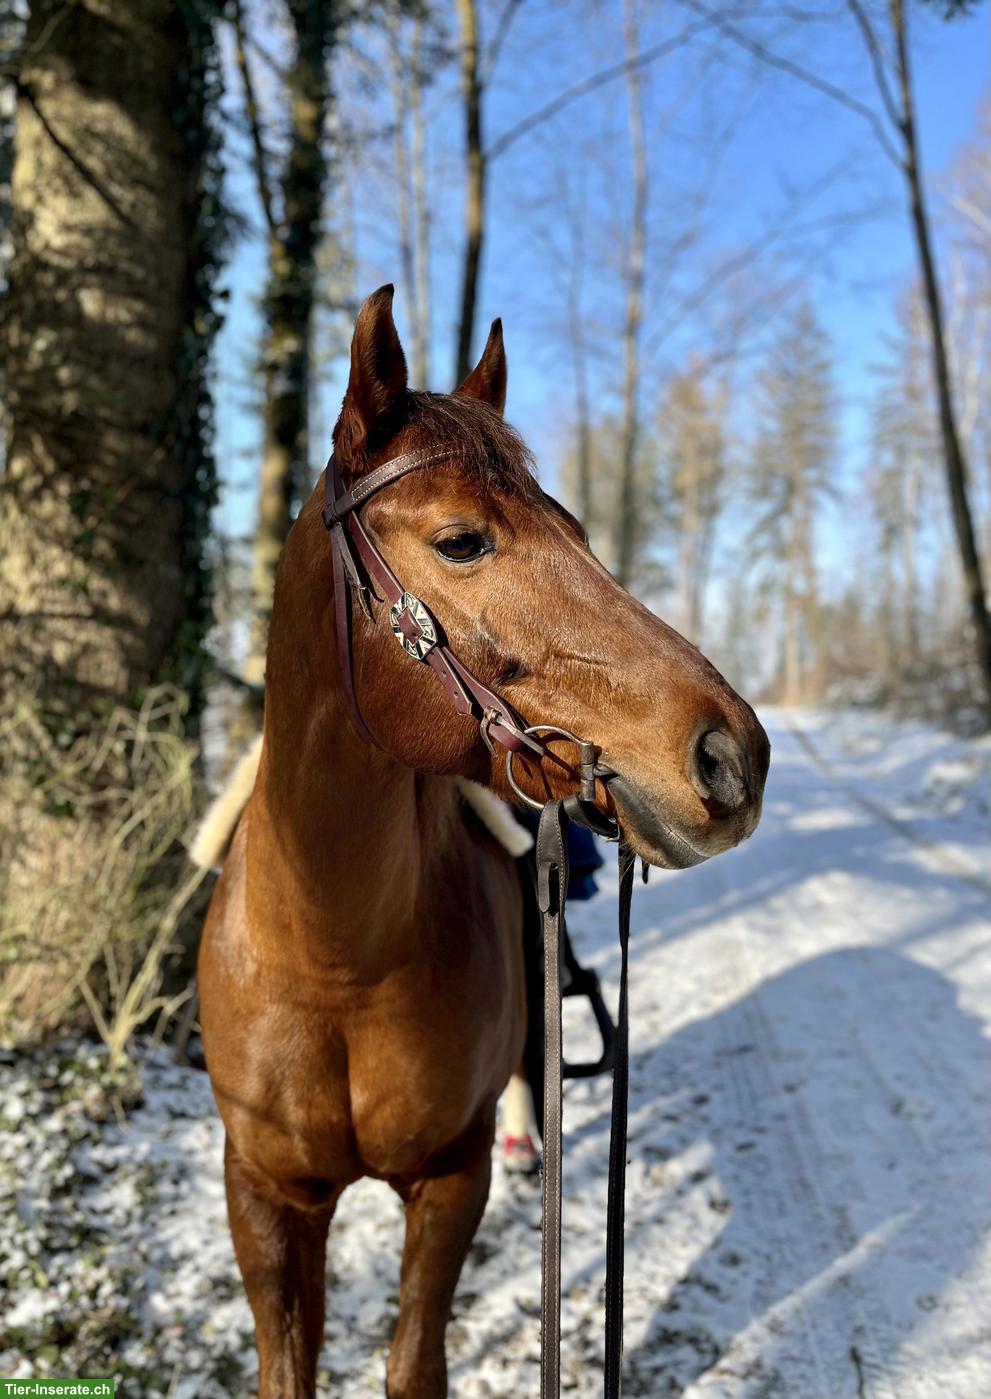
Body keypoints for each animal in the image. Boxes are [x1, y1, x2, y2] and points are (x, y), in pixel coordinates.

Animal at [196, 285, 770, 1399]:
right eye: (462, 540)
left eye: (575, 528)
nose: (731, 755)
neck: (333, 955)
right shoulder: (264, 1197)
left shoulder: (444, 1181)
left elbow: (415, 1361)